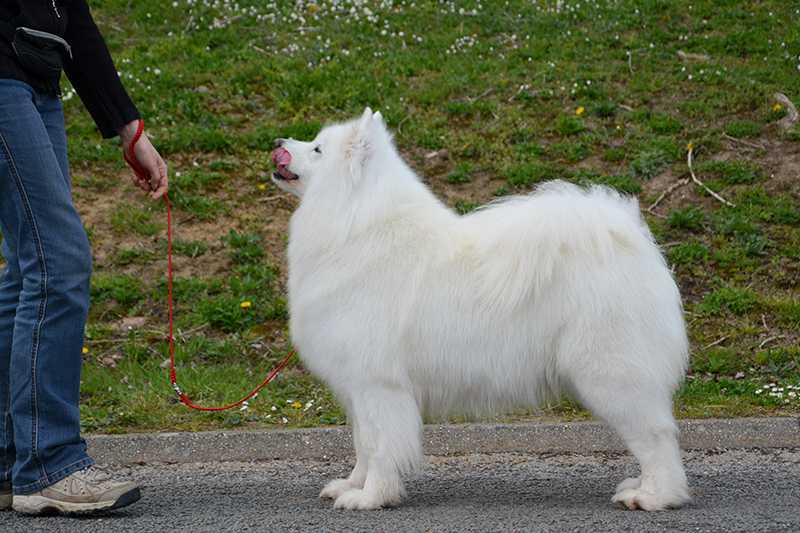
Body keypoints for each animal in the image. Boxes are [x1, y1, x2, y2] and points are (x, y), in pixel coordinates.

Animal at [272, 108, 692, 512]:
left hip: (610, 376)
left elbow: (378, 447)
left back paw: (654, 496)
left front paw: (372, 497)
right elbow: (361, 443)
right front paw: (352, 485)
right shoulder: (358, 389)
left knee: (657, 438)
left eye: (317, 149)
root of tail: (629, 239)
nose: (277, 143)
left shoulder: (378, 384)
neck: (355, 224)